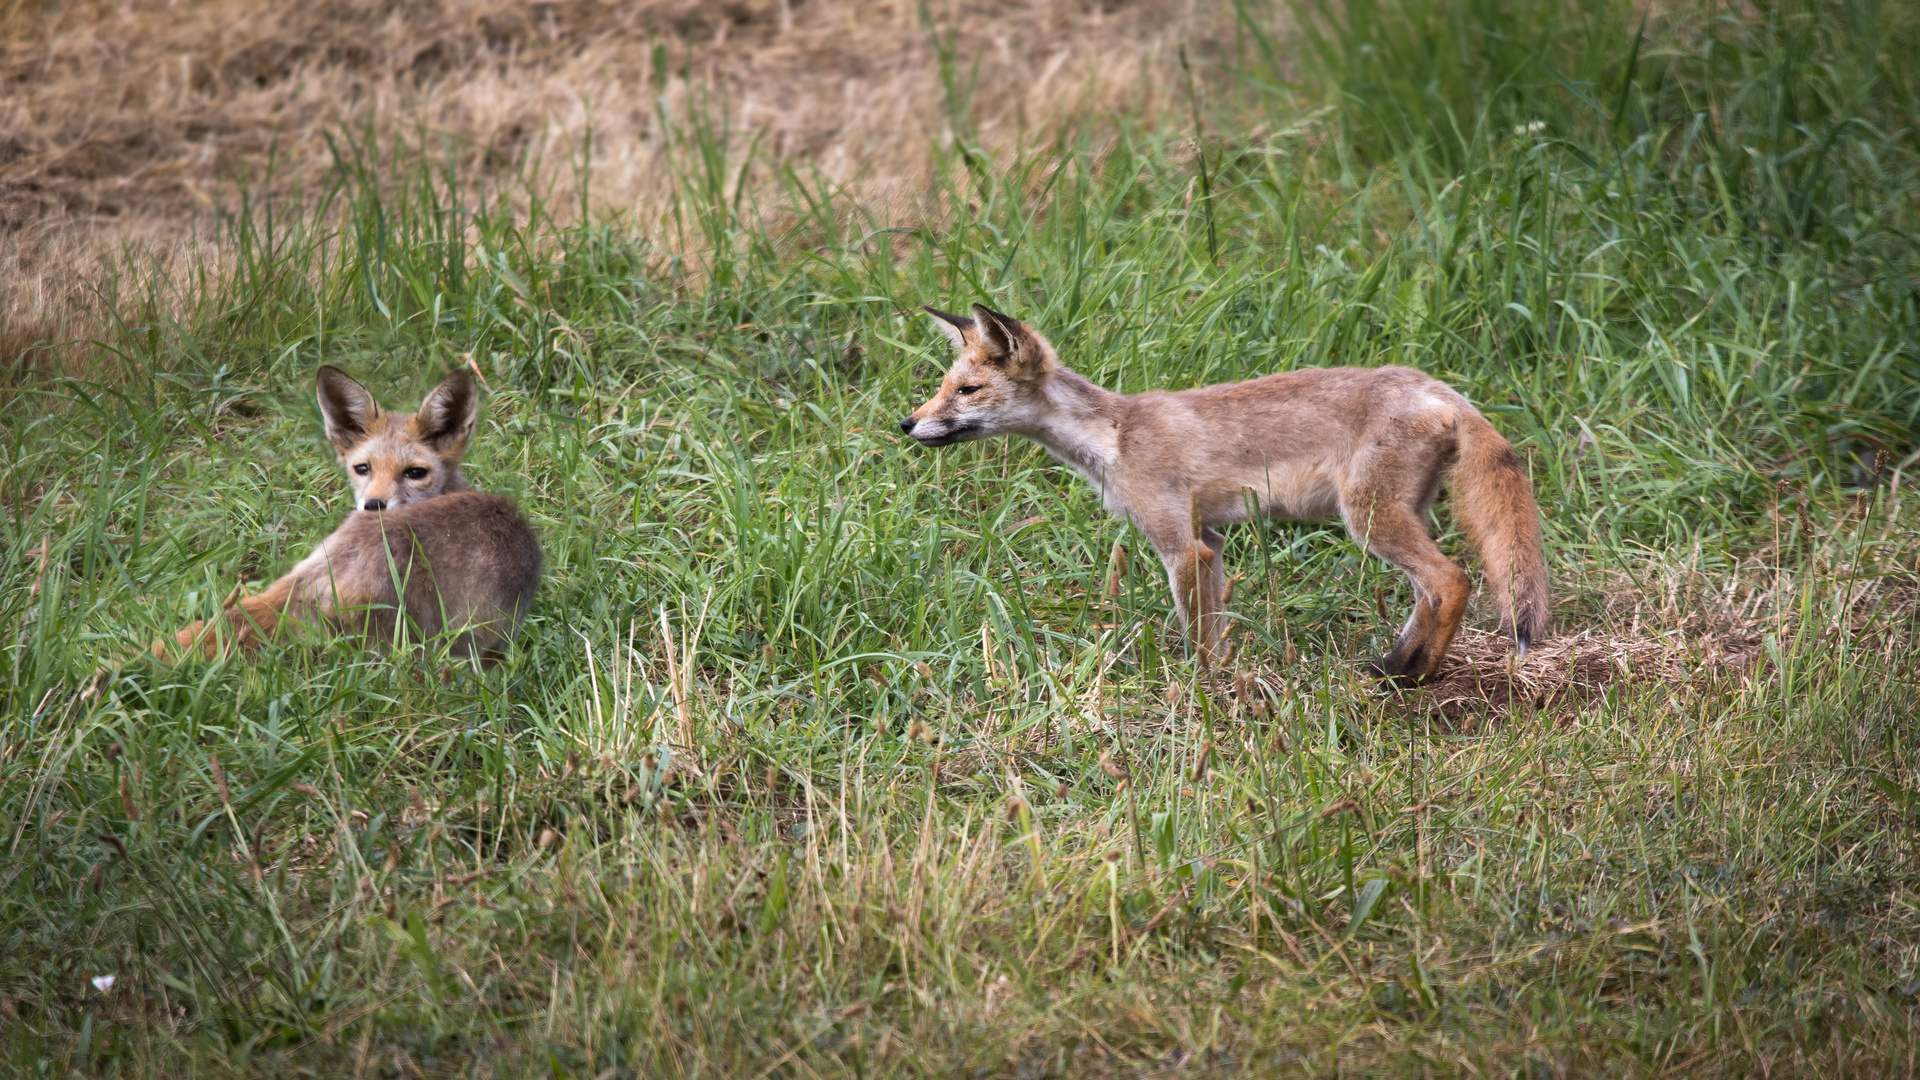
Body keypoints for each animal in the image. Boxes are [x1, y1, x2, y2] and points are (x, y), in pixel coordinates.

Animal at [898, 299, 1543, 680]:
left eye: (967, 391)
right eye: (942, 388)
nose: (905, 423)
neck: (1113, 437)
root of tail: (1438, 387)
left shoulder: (1179, 546)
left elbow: (1197, 637)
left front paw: (1199, 695)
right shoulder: (1208, 540)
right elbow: (1215, 629)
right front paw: (1221, 681)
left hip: (1368, 519)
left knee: (1451, 580)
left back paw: (1422, 673)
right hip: (1395, 517)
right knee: (1425, 591)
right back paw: (1394, 664)